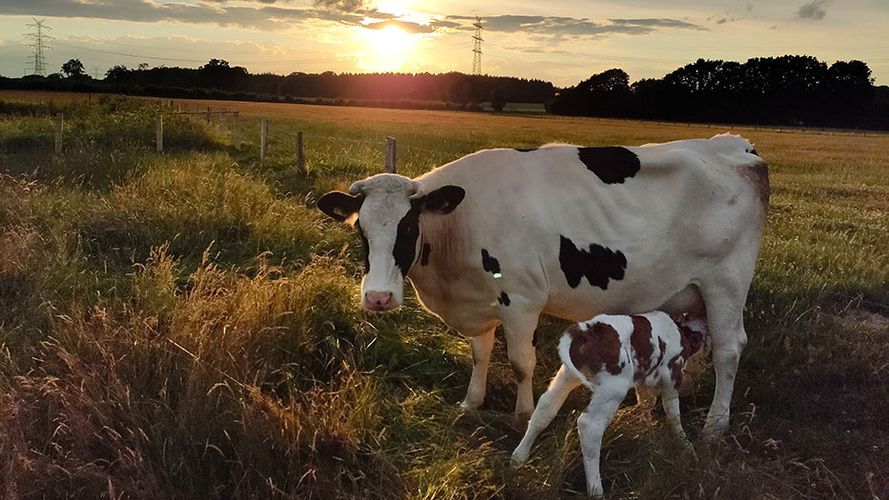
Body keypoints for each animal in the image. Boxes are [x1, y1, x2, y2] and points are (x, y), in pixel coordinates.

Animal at [317, 133, 768, 437]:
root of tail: (732, 144)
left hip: (726, 283)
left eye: (409, 227)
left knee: (729, 350)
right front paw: (472, 401)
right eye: (361, 230)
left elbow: (521, 362)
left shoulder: (520, 299)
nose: (378, 297)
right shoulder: (479, 300)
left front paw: (522, 415)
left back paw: (715, 426)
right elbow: (479, 353)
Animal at [511, 311, 708, 497]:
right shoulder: (672, 375)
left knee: (545, 407)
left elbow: (645, 402)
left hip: (567, 375)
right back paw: (596, 490)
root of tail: (586, 330)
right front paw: (687, 446)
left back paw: (518, 457)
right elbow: (673, 412)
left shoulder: (643, 378)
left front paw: (647, 427)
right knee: (589, 426)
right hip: (612, 387)